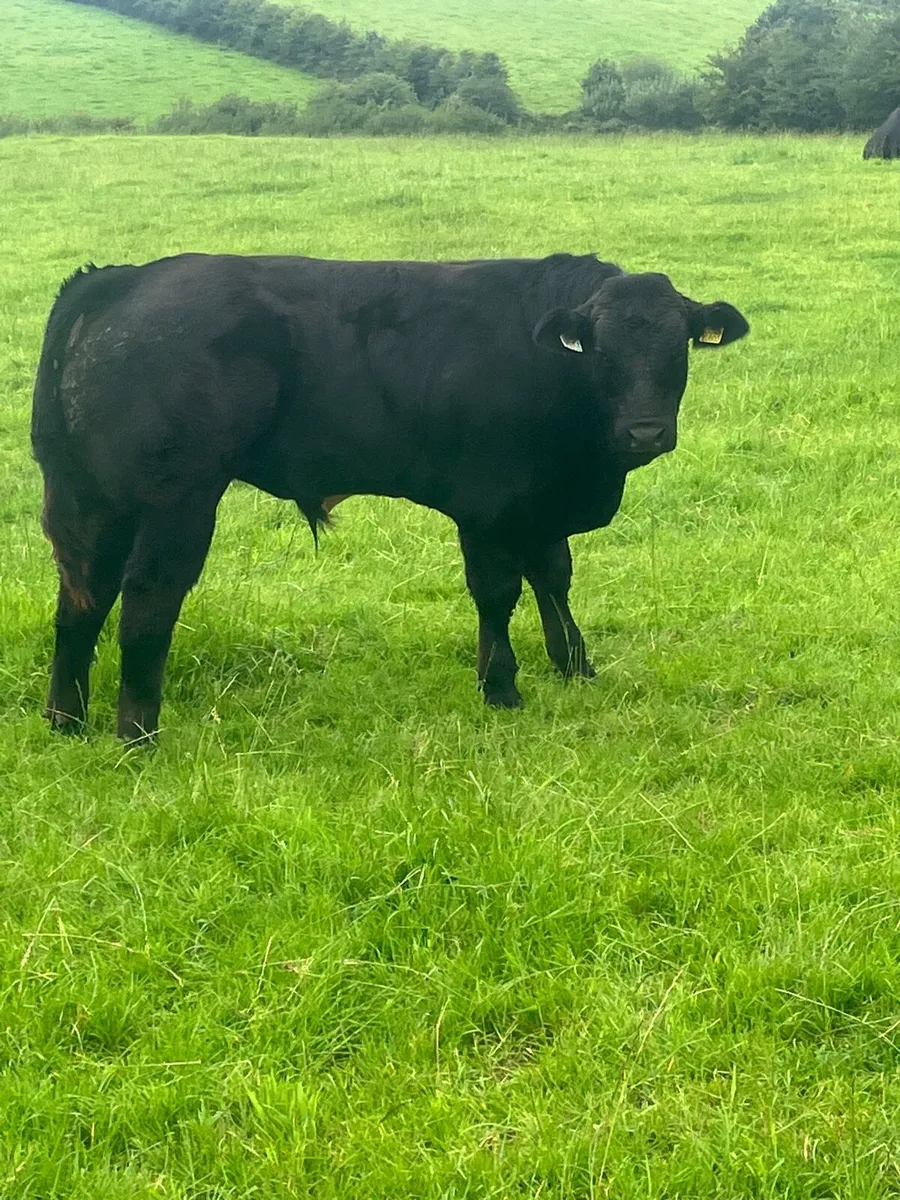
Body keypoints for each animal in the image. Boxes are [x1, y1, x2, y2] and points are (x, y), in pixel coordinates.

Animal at [31, 252, 749, 742]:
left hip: (91, 498)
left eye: (678, 344)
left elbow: (553, 577)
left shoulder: (540, 504)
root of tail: (120, 279)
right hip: (175, 502)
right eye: (602, 348)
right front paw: (501, 686)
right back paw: (138, 734)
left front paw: (573, 664)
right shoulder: (489, 504)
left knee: (81, 598)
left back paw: (67, 720)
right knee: (147, 599)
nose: (644, 431)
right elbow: (498, 592)